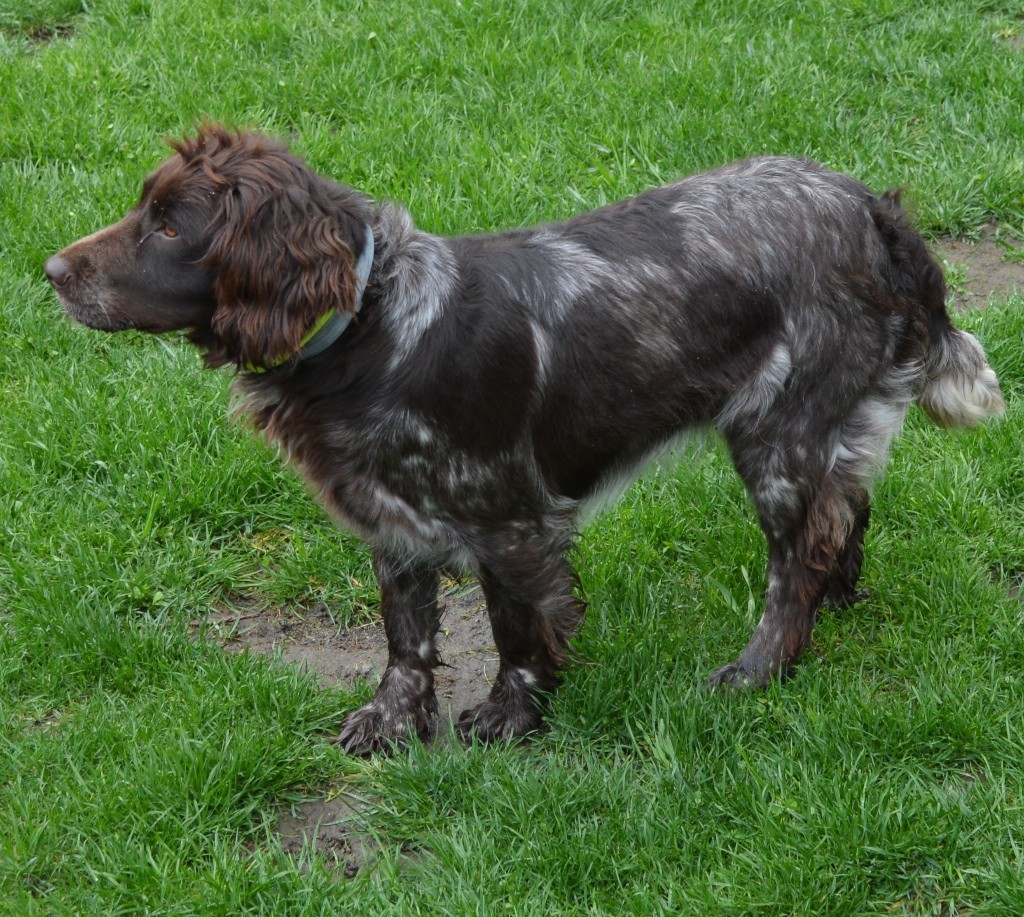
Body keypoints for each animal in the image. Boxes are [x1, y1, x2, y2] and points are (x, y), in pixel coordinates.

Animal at [44, 123, 1003, 753]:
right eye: (144, 208)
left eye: (172, 226)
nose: (50, 270)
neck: (372, 323)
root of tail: (872, 207)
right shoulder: (394, 523)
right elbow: (405, 638)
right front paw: (393, 720)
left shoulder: (508, 521)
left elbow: (518, 631)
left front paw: (512, 716)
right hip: (829, 424)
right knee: (846, 511)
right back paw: (835, 609)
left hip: (776, 432)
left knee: (796, 557)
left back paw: (760, 667)